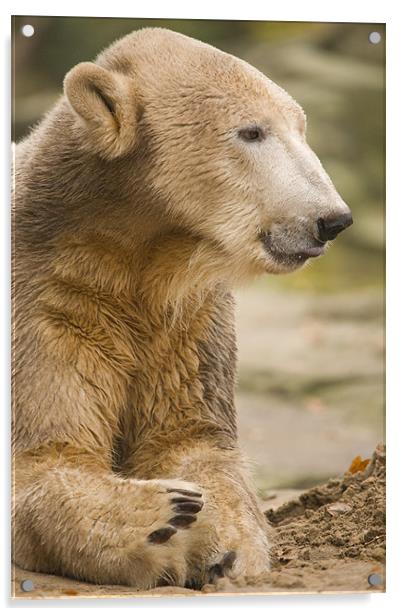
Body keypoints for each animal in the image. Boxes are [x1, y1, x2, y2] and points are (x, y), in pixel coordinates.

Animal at [11, 26, 352, 588]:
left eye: (300, 126)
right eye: (251, 131)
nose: (332, 219)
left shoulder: (187, 315)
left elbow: (191, 437)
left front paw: (224, 544)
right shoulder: (48, 300)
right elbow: (47, 452)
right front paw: (163, 517)